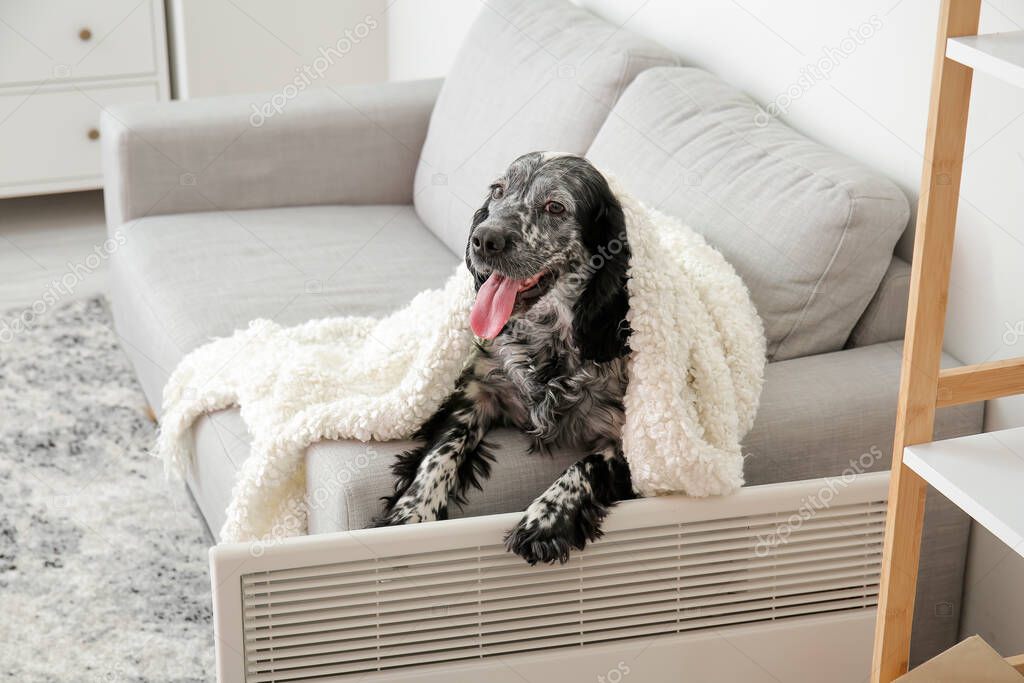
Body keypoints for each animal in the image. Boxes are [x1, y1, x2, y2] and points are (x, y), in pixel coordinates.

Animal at [376, 152, 630, 565]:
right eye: (498, 191)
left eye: (555, 206)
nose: (484, 239)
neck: (547, 344)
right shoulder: (477, 390)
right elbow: (440, 453)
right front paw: (412, 512)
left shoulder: (633, 440)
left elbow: (585, 466)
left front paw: (545, 520)